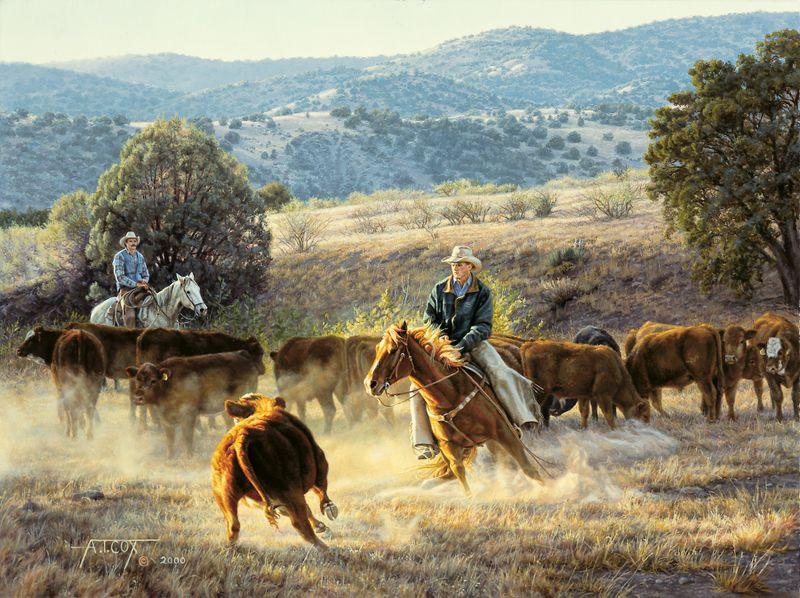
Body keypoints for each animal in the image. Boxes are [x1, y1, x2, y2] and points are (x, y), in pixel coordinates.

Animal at [126, 350, 260, 456]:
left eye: (153, 380)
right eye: (137, 379)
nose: (137, 397)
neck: (168, 385)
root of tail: (243, 355)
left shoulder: (189, 415)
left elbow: (187, 437)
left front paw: (188, 456)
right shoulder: (165, 419)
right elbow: (170, 438)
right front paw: (170, 457)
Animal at [212, 393, 338, 549]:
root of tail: (243, 436)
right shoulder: (319, 462)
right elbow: (321, 490)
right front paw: (327, 515)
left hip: (223, 495)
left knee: (233, 526)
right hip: (291, 490)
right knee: (300, 524)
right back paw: (326, 548)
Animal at [364, 322, 543, 496]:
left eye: (393, 349)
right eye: (377, 349)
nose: (370, 384)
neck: (450, 396)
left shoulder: (504, 432)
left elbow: (529, 469)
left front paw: (544, 489)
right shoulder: (448, 445)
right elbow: (459, 473)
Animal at [520, 340, 650, 429]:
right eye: (644, 416)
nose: (646, 428)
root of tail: (529, 345)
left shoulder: (584, 395)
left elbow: (584, 412)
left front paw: (583, 428)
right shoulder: (603, 396)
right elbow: (608, 414)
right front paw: (614, 429)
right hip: (540, 391)